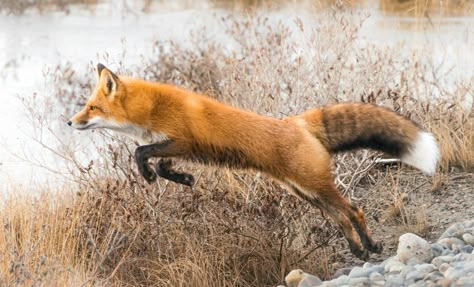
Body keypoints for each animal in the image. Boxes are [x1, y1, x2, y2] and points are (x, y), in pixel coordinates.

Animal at [68, 64, 438, 262]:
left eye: (92, 108)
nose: (70, 122)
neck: (152, 109)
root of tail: (296, 122)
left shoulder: (182, 140)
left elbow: (141, 154)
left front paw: (148, 174)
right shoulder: (174, 147)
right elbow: (160, 163)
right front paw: (183, 179)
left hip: (315, 186)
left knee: (355, 211)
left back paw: (371, 246)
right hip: (306, 193)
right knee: (343, 217)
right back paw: (359, 250)